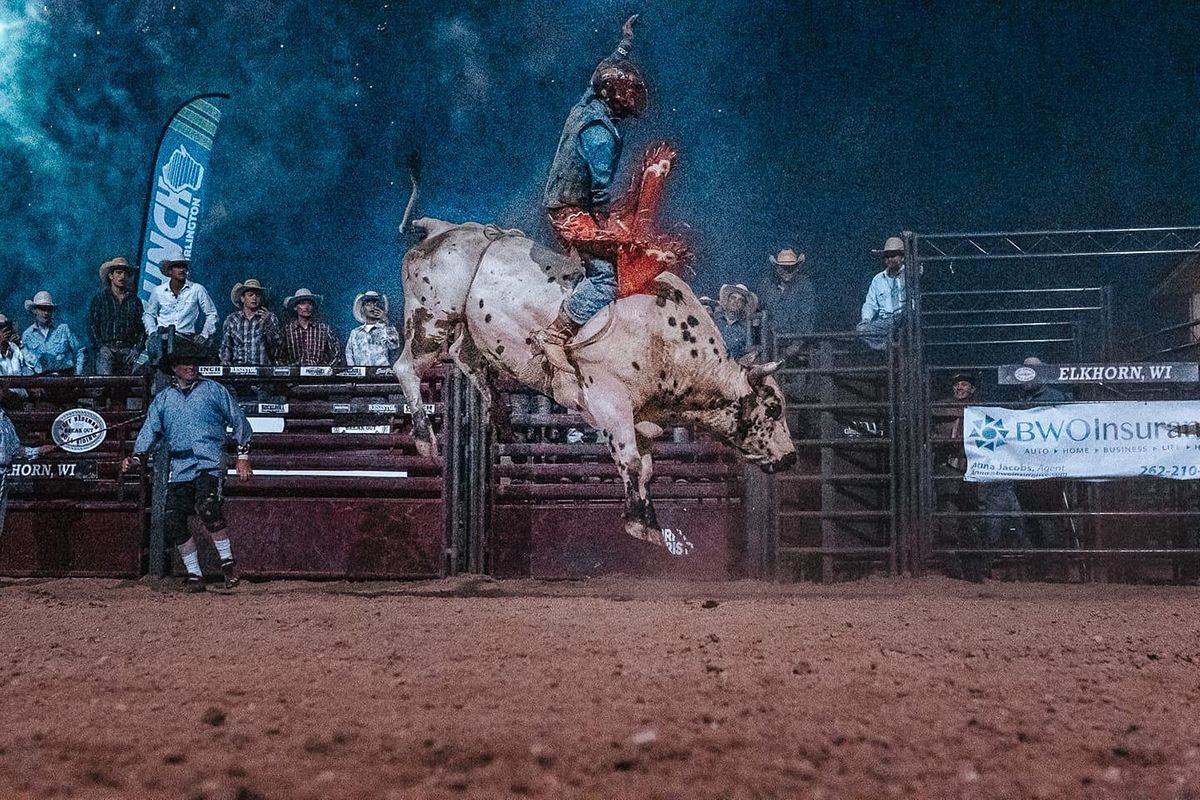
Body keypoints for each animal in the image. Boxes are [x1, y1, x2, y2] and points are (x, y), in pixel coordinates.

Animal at [393, 220, 801, 551]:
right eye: (773, 408)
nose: (791, 457)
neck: (668, 342)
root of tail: (439, 231)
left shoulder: (643, 418)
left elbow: (644, 468)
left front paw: (645, 518)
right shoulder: (610, 401)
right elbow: (631, 461)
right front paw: (640, 523)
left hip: (468, 330)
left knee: (466, 357)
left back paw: (501, 415)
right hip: (431, 320)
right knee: (406, 367)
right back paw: (425, 438)